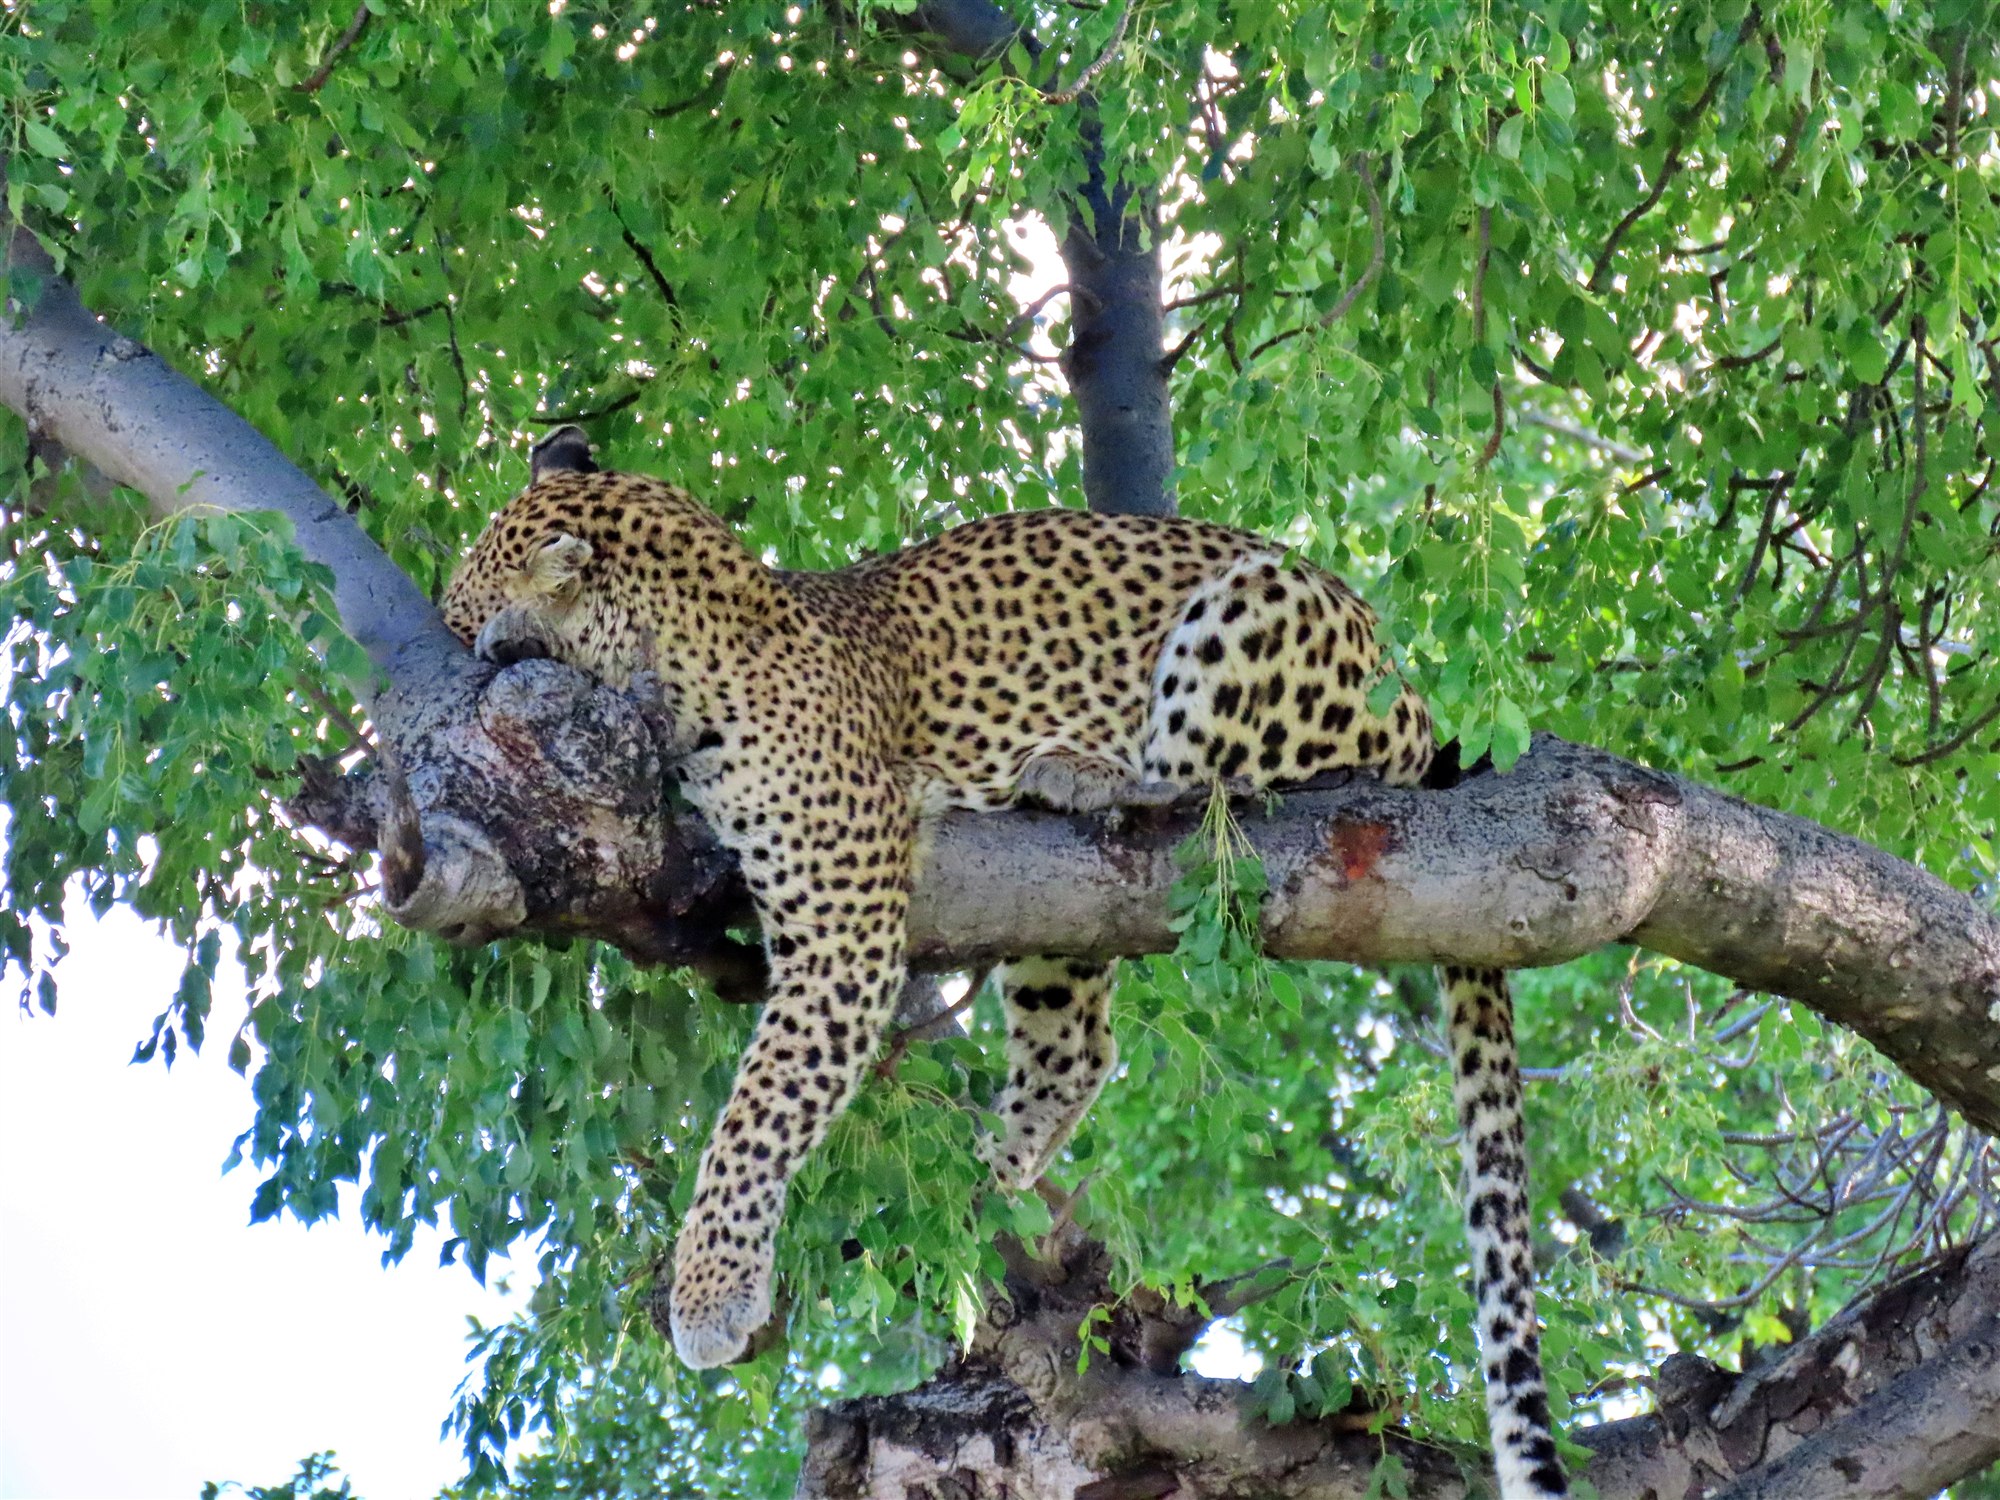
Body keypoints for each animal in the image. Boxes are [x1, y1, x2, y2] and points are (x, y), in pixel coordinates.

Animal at [439, 425, 1568, 1500]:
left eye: (457, 621)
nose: (454, 658)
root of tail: (1416, 696)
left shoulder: (841, 923)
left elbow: (756, 1113)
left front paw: (711, 1292)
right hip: (1060, 913)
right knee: (1079, 1048)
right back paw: (984, 1177)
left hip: (1252, 617)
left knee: (1220, 778)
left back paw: (1076, 769)